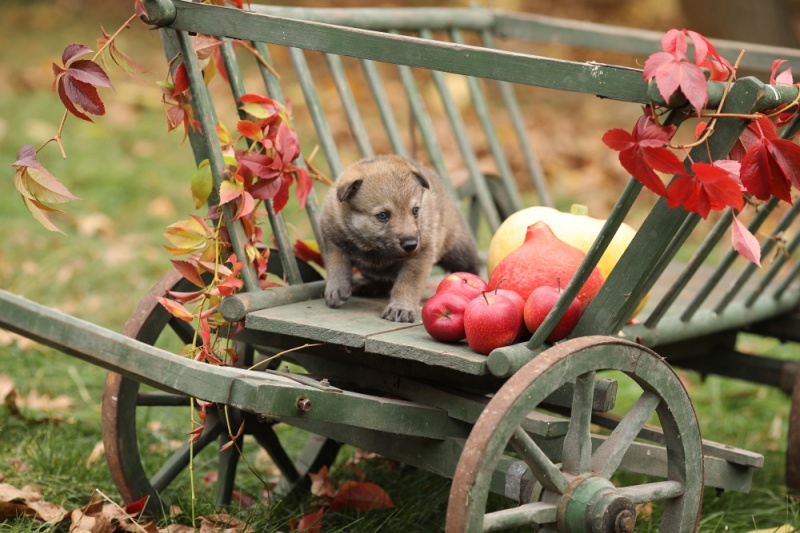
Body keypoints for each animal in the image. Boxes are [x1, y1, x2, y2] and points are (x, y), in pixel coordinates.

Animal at [320, 154, 482, 320]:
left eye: (415, 210)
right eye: (383, 215)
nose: (411, 244)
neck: (371, 247)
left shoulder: (420, 255)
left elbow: (407, 283)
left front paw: (400, 307)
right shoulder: (331, 236)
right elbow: (336, 263)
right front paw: (336, 288)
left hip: (458, 251)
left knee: (471, 267)